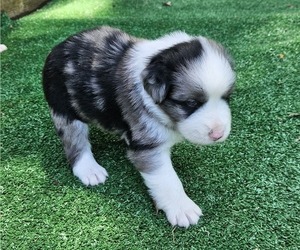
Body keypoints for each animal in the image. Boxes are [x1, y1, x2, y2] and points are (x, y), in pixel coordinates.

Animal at [42, 26, 236, 228]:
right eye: (190, 103)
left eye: (227, 97)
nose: (218, 134)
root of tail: (58, 47)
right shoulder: (147, 146)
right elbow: (168, 179)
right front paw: (182, 208)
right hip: (64, 109)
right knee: (75, 142)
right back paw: (89, 170)